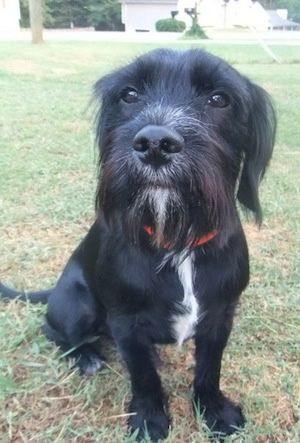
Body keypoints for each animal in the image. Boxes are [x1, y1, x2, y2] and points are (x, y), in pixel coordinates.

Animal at [0, 48, 276, 440]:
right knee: (52, 330)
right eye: (129, 94)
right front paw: (149, 418)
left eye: (219, 99)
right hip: (79, 305)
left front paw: (214, 410)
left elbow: (210, 369)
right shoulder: (125, 321)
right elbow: (143, 376)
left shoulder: (220, 315)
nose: (155, 143)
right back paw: (85, 357)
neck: (177, 240)